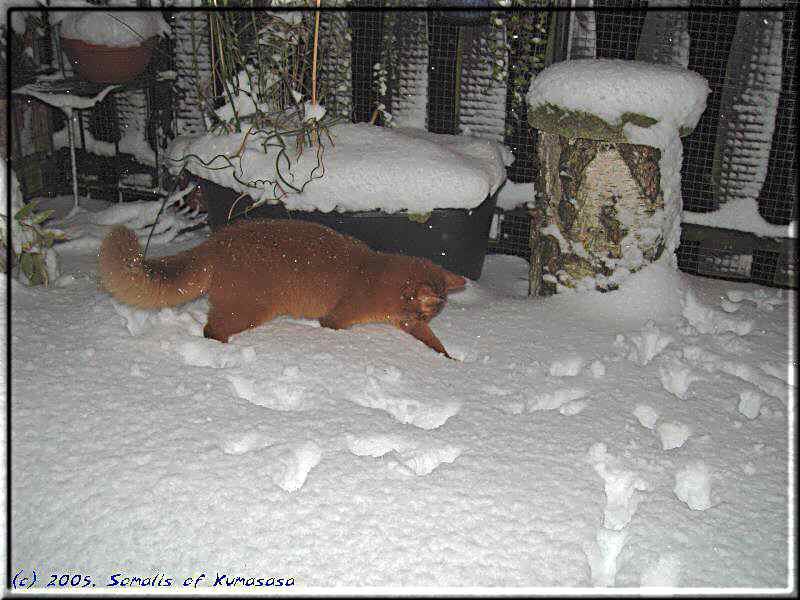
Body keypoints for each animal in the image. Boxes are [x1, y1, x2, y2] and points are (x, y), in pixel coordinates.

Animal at [97, 221, 466, 358]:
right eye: (427, 309)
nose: (426, 318)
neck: (377, 273)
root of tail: (215, 242)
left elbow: (435, 345)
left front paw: (448, 360)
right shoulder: (337, 319)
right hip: (250, 309)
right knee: (211, 329)